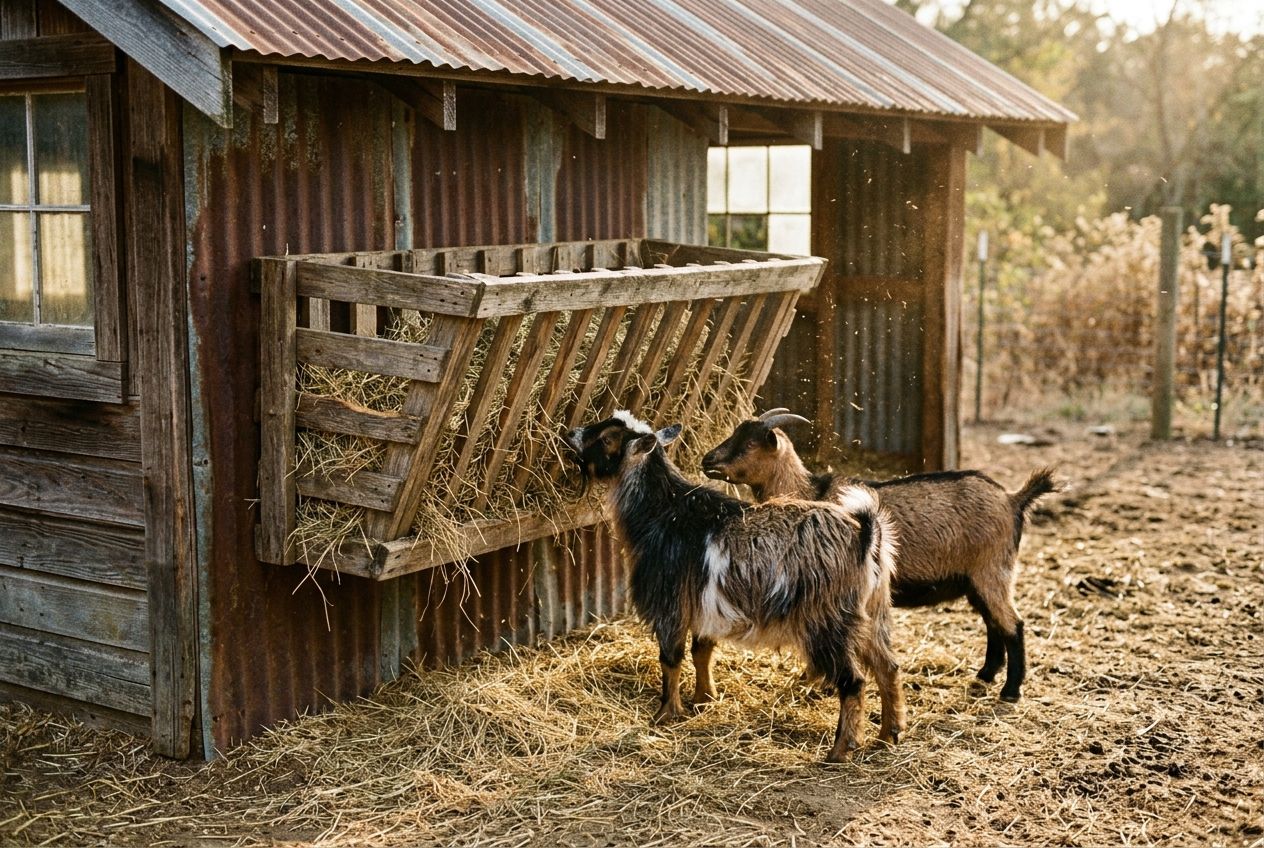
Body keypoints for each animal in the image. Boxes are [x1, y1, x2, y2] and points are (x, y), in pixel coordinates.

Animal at [565, 410, 905, 762]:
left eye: (608, 439)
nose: (570, 434)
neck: (664, 513)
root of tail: (866, 535)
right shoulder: (703, 605)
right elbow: (702, 651)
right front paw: (703, 698)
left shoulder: (669, 603)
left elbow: (670, 659)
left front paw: (665, 714)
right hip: (871, 613)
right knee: (888, 667)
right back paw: (888, 735)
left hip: (827, 621)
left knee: (853, 681)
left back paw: (839, 751)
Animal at [701, 408, 1059, 702]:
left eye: (749, 444)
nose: (707, 461)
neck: (809, 492)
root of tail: (1013, 500)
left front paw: (818, 682)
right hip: (976, 579)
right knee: (993, 622)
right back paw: (985, 675)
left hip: (993, 570)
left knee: (1013, 624)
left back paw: (1010, 691)